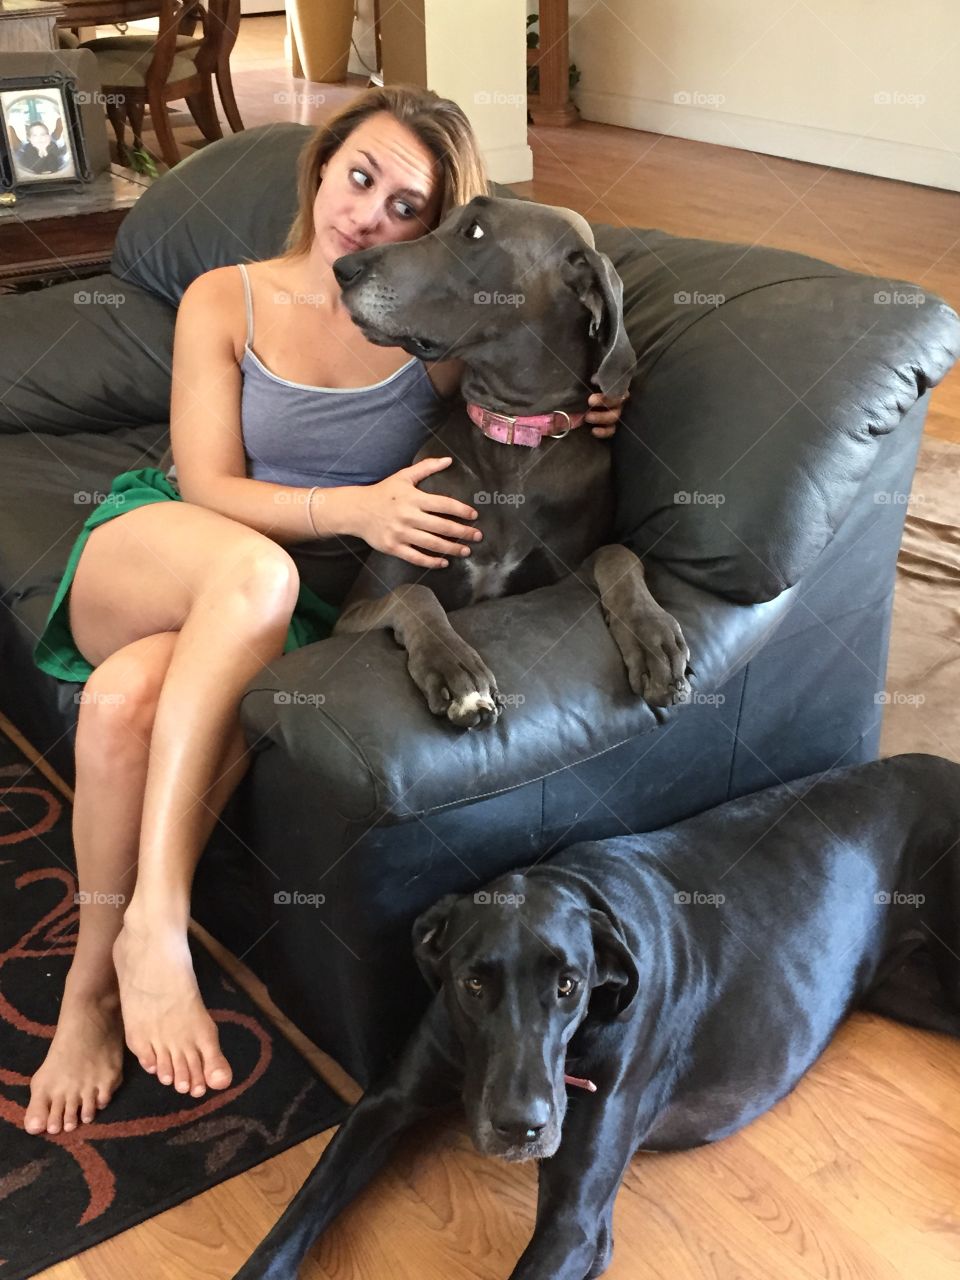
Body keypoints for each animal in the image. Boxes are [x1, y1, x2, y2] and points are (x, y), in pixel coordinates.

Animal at [232, 747, 960, 1280]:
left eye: (569, 985)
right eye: (473, 983)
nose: (520, 1126)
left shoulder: (576, 1224)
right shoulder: (386, 1102)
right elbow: (296, 1214)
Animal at [330, 194, 691, 727]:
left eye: (475, 232)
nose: (342, 267)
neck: (511, 435)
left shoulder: (559, 576)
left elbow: (617, 554)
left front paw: (654, 636)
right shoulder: (352, 614)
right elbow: (412, 594)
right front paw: (456, 669)